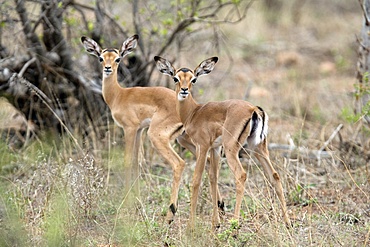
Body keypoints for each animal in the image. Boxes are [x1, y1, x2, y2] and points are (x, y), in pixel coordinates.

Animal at [81, 34, 225, 222]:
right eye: (101, 57)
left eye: (118, 58)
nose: (107, 68)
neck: (119, 95)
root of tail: (194, 107)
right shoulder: (139, 130)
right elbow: (137, 162)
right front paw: (136, 201)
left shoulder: (130, 128)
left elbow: (128, 161)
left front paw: (125, 204)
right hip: (185, 139)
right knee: (208, 163)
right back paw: (220, 207)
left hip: (158, 137)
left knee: (179, 163)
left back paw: (171, 214)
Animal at [154, 55, 292, 230]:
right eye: (175, 78)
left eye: (193, 79)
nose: (184, 90)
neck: (194, 112)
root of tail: (254, 109)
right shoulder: (215, 149)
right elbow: (213, 178)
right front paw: (216, 223)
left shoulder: (202, 147)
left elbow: (196, 180)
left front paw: (191, 226)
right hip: (258, 149)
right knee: (275, 176)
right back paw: (288, 223)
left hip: (232, 148)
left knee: (241, 175)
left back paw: (235, 226)